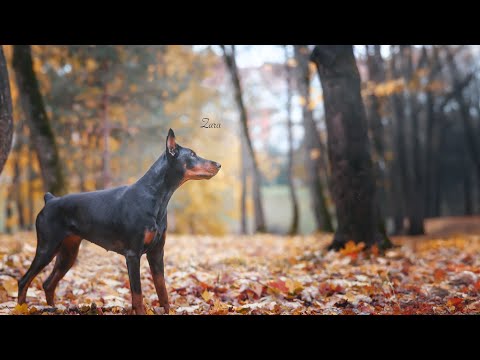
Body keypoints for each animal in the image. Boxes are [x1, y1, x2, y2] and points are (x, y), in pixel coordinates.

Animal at [17, 129, 221, 316]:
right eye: (192, 154)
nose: (218, 164)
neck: (156, 197)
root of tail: (50, 200)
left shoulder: (156, 253)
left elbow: (162, 291)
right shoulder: (133, 255)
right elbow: (137, 295)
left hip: (68, 252)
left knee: (48, 283)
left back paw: (52, 308)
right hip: (47, 247)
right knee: (24, 280)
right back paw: (21, 308)